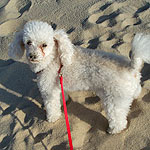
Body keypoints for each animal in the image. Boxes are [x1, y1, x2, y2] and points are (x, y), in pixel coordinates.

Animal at [7, 20, 150, 134]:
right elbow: (61, 97)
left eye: (44, 45)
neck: (51, 60)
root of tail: (131, 67)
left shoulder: (48, 90)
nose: (32, 56)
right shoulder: (58, 86)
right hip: (127, 91)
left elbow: (51, 106)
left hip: (114, 100)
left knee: (118, 119)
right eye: (28, 42)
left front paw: (52, 118)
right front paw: (63, 102)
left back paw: (114, 130)